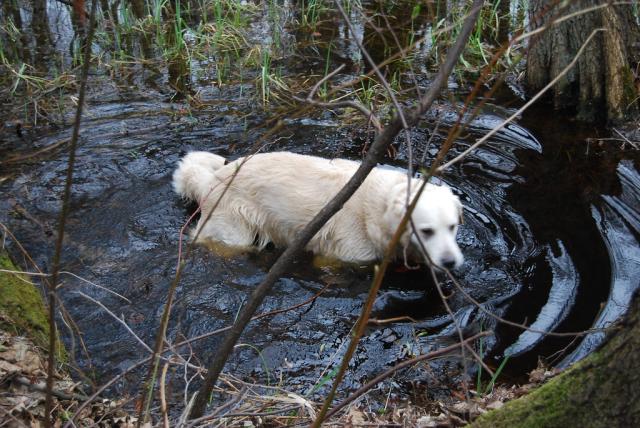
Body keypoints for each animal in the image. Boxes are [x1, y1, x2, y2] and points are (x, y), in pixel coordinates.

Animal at [174, 152, 464, 270]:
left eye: (452, 227)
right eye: (427, 231)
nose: (451, 263)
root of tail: (212, 180)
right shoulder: (339, 257)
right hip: (234, 231)